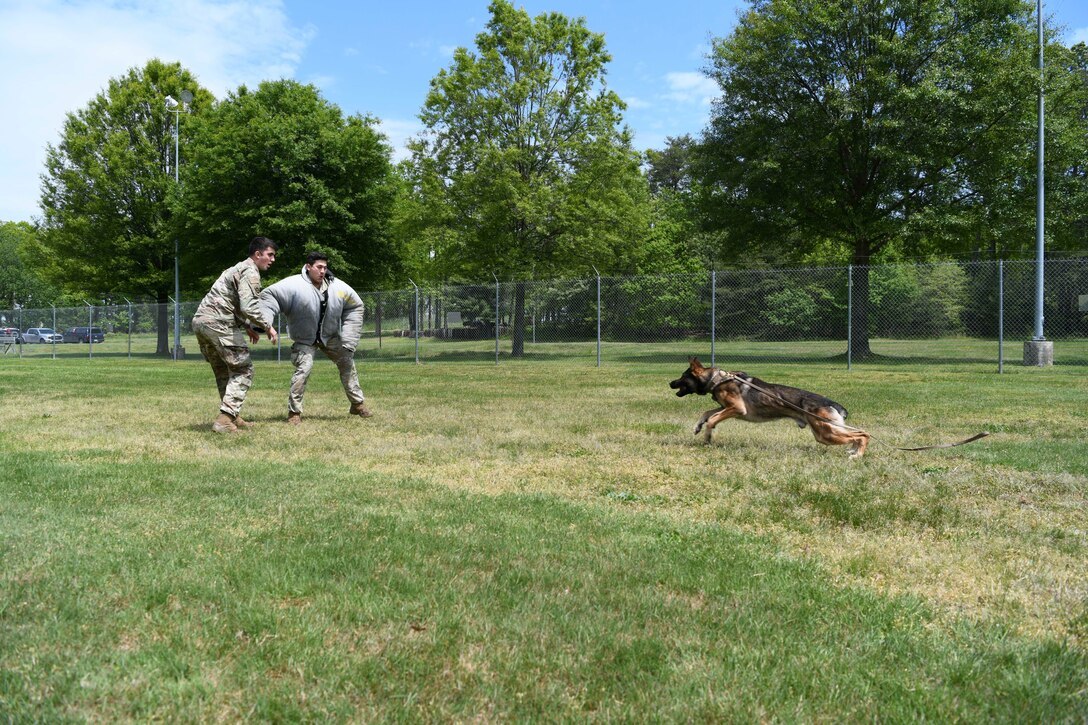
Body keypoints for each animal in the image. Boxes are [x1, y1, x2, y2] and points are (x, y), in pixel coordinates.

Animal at [665, 354, 870, 457]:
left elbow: (712, 419)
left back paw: (857, 455)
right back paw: (854, 451)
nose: (670, 383)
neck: (716, 379)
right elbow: (707, 413)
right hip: (827, 431)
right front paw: (698, 427)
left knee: (863, 434)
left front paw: (708, 437)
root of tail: (832, 403)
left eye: (682, 377)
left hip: (824, 432)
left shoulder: (737, 409)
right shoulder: (726, 407)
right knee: (859, 433)